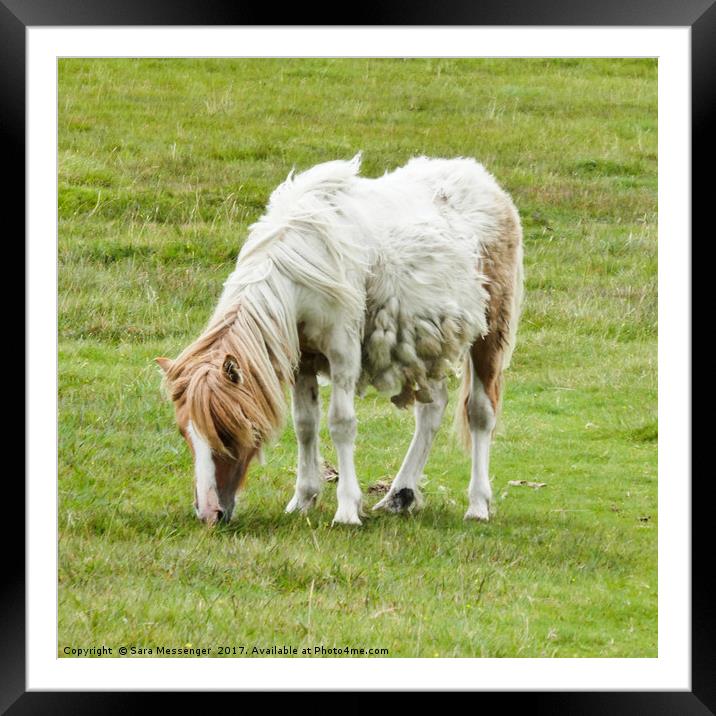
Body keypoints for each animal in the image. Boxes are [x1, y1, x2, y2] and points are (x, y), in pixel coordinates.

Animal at [157, 154, 524, 524]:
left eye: (227, 433)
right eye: (185, 432)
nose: (209, 512)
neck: (301, 260)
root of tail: (485, 181)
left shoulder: (343, 351)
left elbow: (341, 423)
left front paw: (347, 508)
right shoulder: (302, 360)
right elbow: (305, 424)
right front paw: (303, 498)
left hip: (490, 334)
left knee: (480, 413)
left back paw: (478, 505)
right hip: (424, 344)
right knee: (432, 409)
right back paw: (400, 495)